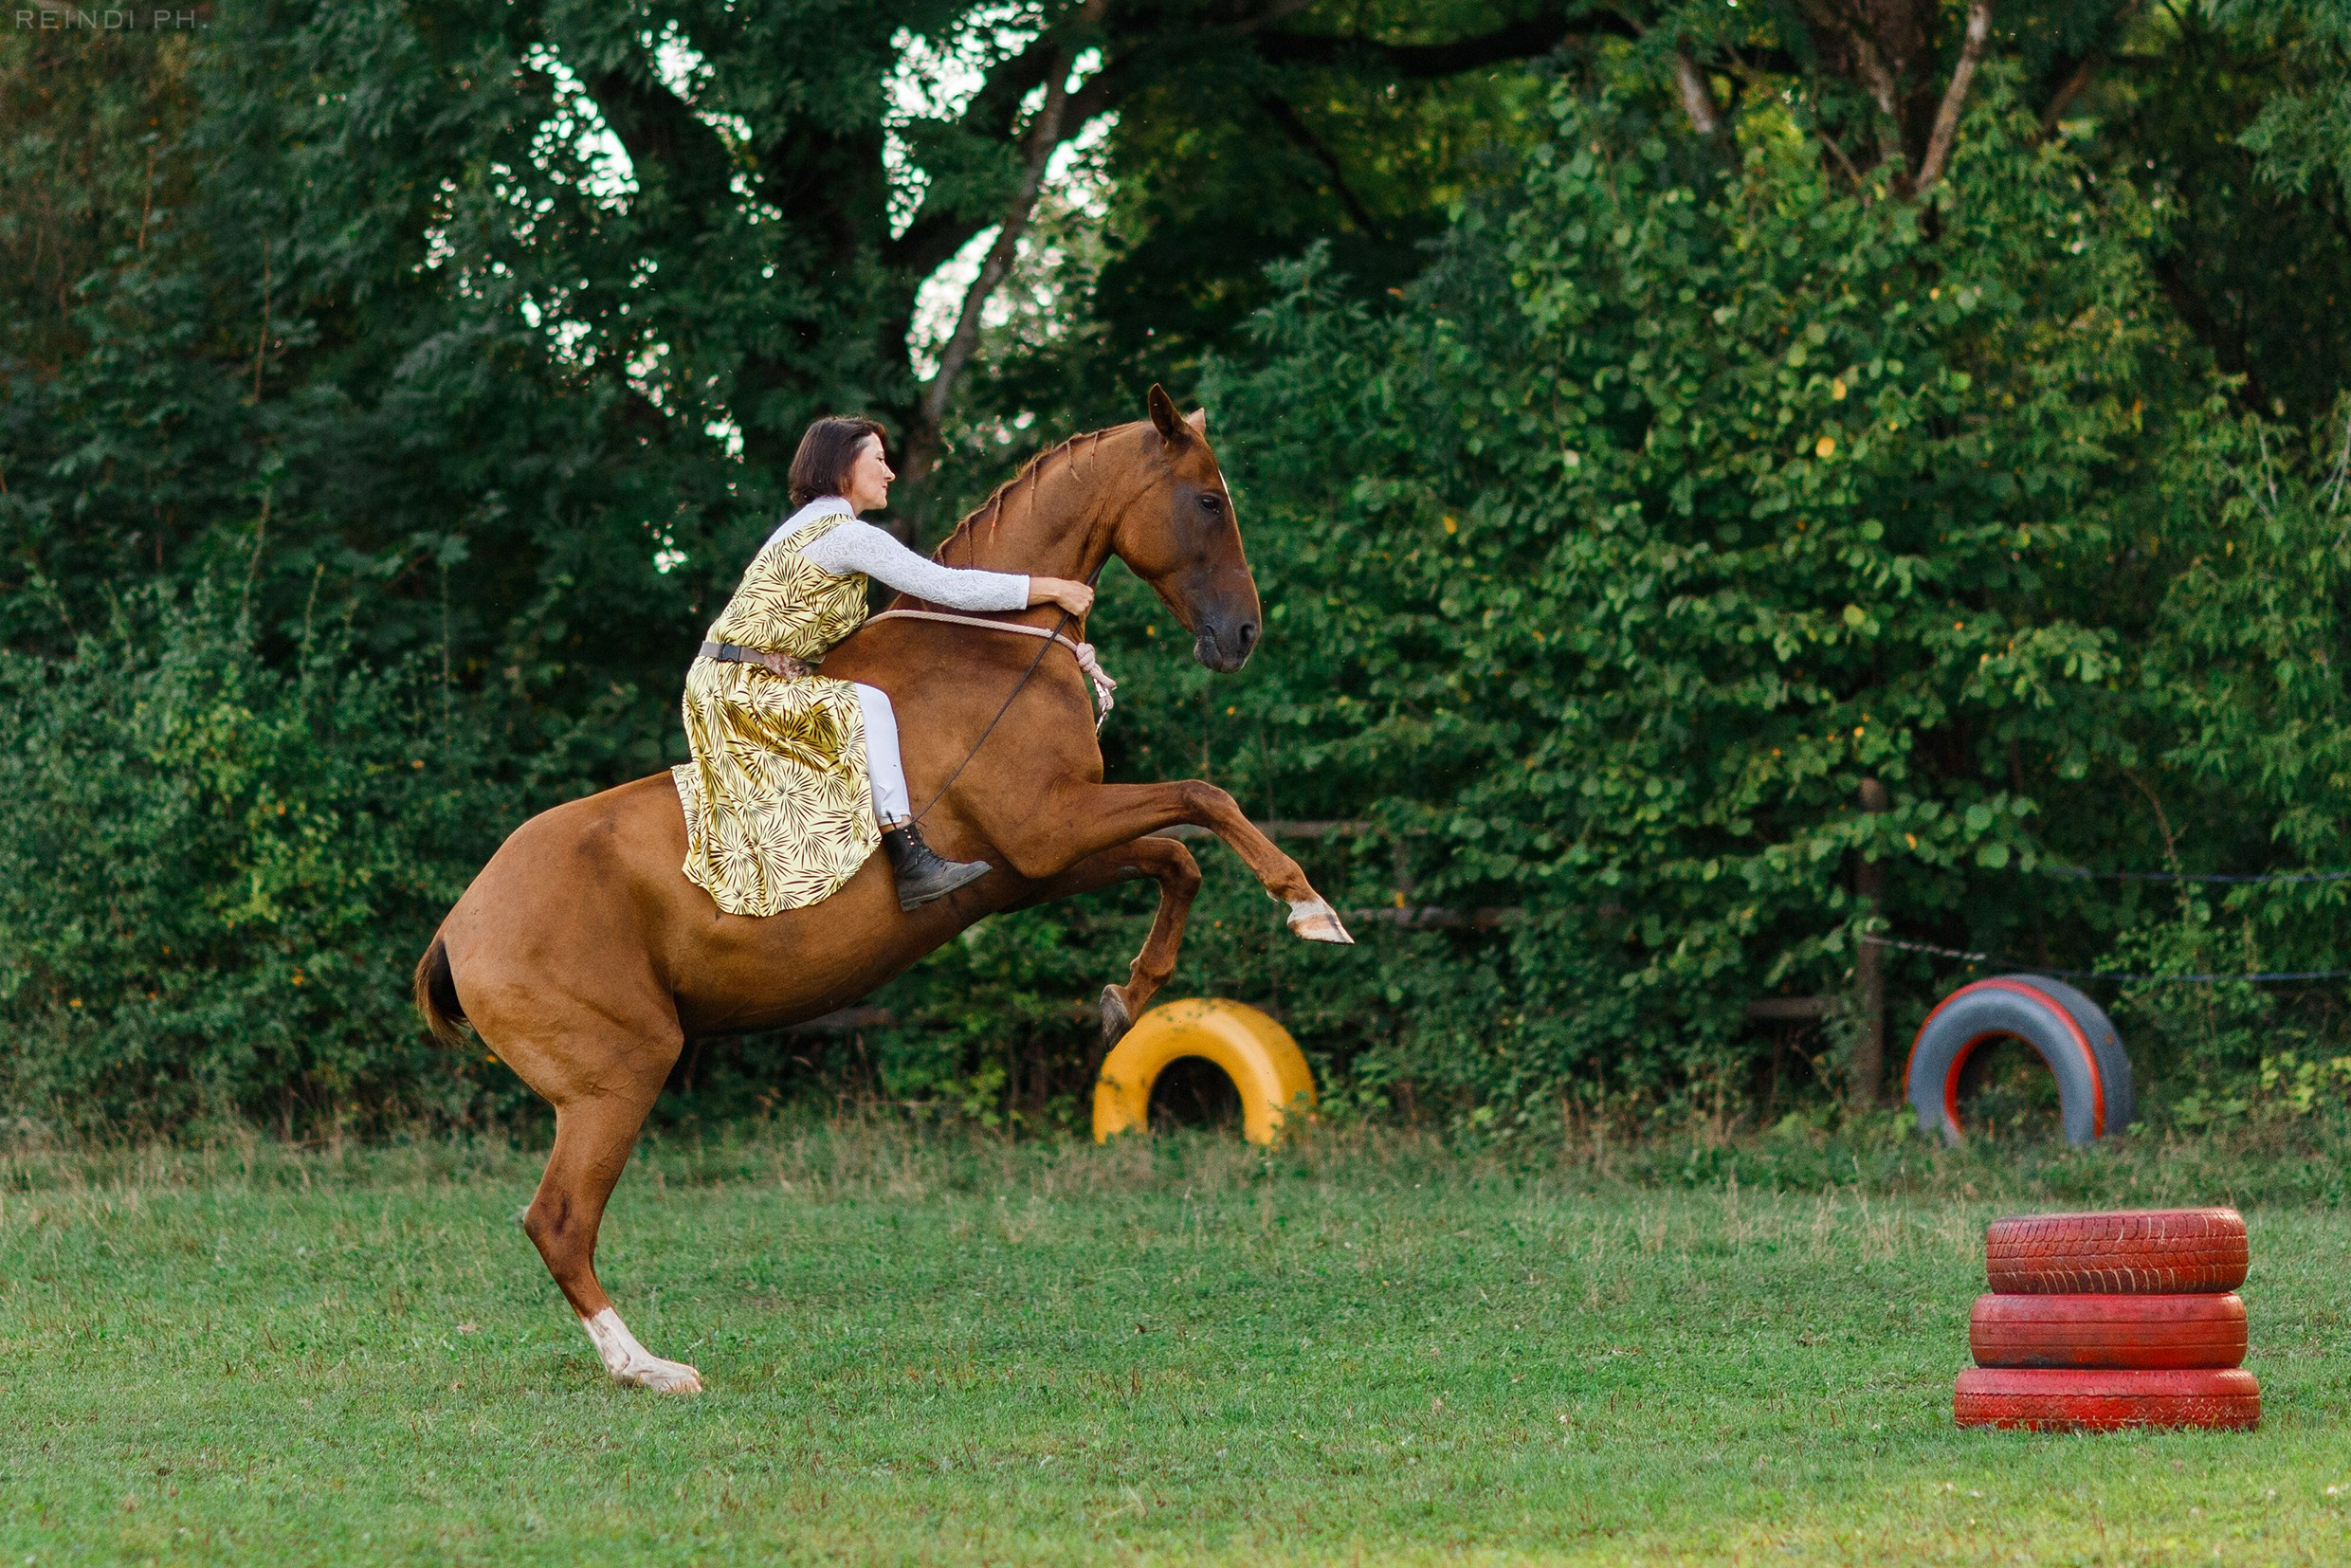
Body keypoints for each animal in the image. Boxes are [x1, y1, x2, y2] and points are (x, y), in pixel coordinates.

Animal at [413, 385, 1352, 1393]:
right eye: (1210, 500)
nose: (1243, 635)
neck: (990, 652)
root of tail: (459, 926)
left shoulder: (1036, 862)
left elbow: (1178, 857)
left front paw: (1124, 998)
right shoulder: (1053, 824)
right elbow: (1205, 799)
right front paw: (1311, 908)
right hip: (618, 1076)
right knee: (559, 1222)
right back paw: (650, 1369)